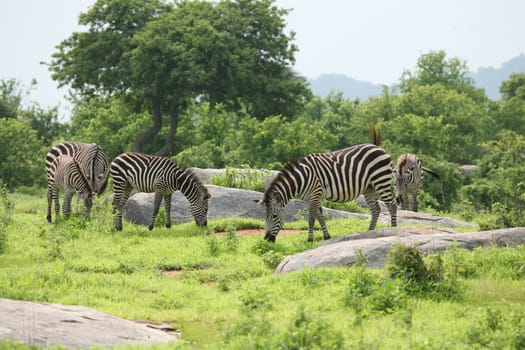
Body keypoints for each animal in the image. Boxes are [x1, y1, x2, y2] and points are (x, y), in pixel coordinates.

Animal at [258, 143, 398, 243]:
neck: (302, 179)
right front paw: (326, 236)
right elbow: (320, 217)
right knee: (376, 209)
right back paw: (370, 232)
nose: (267, 239)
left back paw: (393, 230)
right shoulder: (314, 197)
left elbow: (311, 219)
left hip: (381, 180)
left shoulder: (315, 193)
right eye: (265, 216)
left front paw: (310, 239)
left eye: (274, 216)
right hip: (369, 187)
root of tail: (381, 149)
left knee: (392, 205)